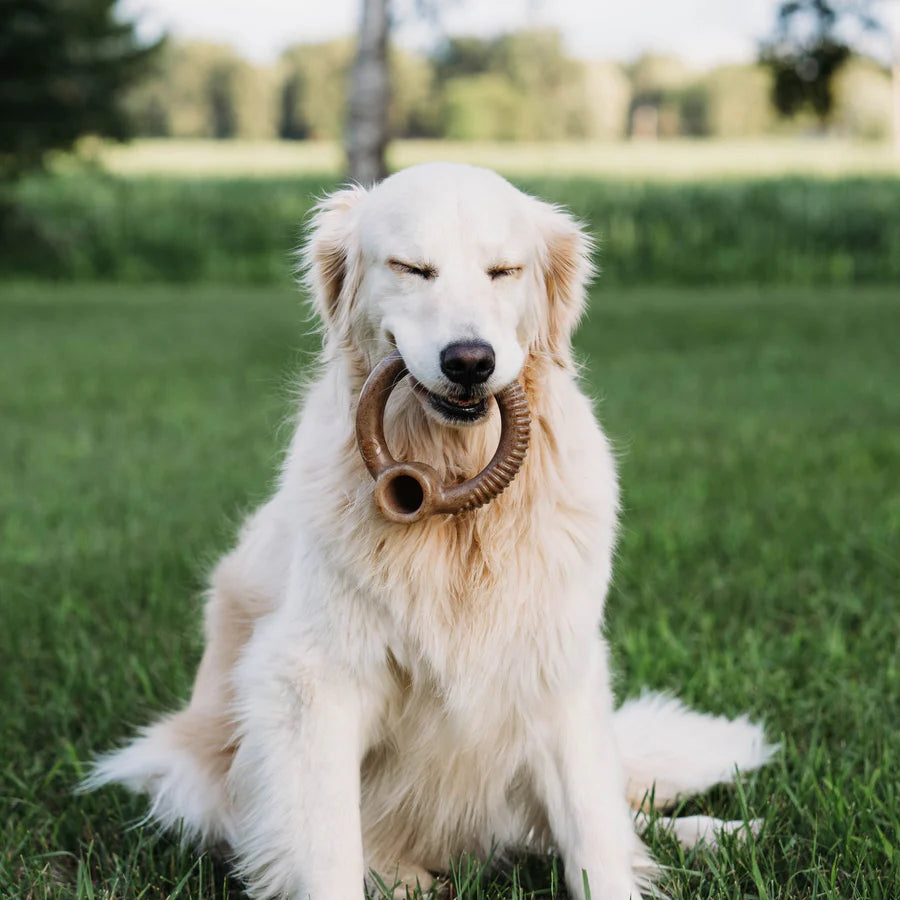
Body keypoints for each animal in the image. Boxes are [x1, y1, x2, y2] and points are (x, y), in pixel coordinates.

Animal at [84, 163, 772, 900]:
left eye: (503, 270)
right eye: (412, 268)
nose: (469, 360)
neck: (457, 497)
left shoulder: (560, 670)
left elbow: (594, 832)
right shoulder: (311, 682)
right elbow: (328, 850)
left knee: (608, 817)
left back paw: (722, 833)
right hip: (195, 780)